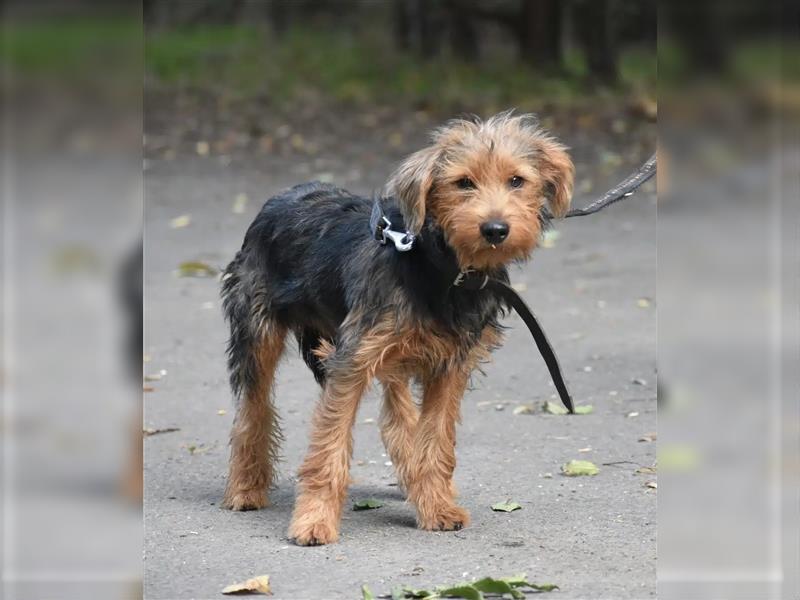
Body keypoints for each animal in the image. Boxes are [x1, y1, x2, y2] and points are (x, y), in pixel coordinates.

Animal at [222, 110, 572, 548]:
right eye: (463, 182)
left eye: (517, 180)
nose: (495, 229)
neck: (440, 267)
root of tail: (280, 198)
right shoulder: (351, 364)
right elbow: (328, 449)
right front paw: (314, 521)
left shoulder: (449, 367)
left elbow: (435, 443)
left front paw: (436, 505)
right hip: (259, 336)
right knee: (253, 412)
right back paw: (246, 488)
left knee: (396, 417)